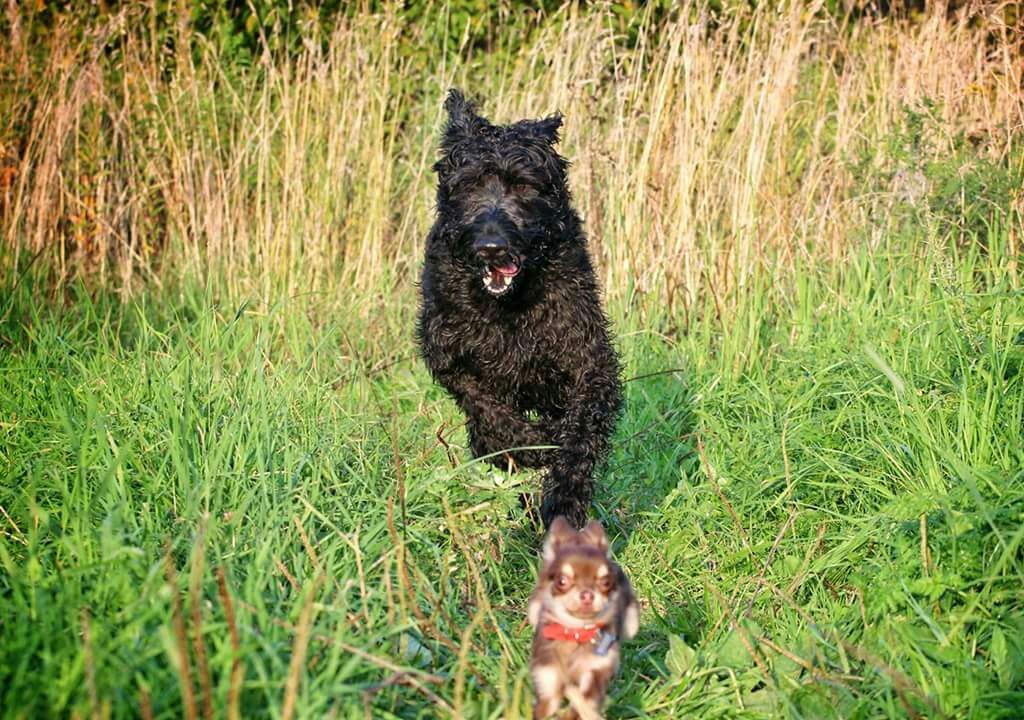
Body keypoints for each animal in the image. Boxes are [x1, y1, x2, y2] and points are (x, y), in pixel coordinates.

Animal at [415, 91, 622, 528]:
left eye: (524, 185)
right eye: (470, 183)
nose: (491, 247)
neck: (507, 305)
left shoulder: (589, 362)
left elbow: (580, 434)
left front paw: (565, 497)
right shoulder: (450, 358)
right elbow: (494, 418)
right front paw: (536, 444)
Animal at [528, 518, 638, 716]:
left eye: (606, 582)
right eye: (562, 581)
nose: (587, 594)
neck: (575, 632)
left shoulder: (594, 672)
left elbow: (582, 706)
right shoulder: (547, 679)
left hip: (631, 623)